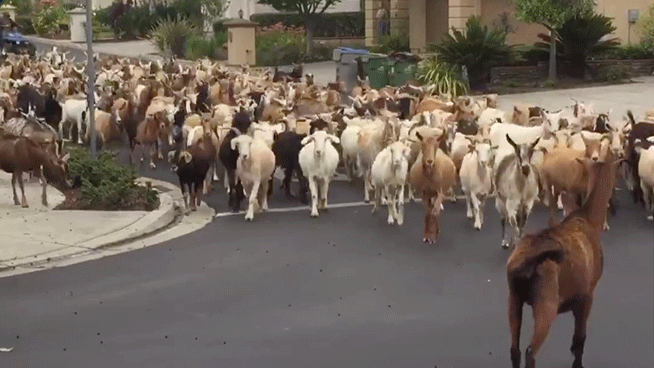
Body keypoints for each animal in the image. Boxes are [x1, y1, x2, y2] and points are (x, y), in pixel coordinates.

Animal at [510, 149, 624, 368]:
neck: (588, 220)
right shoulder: (587, 295)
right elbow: (579, 340)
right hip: (546, 303)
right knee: (530, 351)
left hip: (514, 297)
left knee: (515, 349)